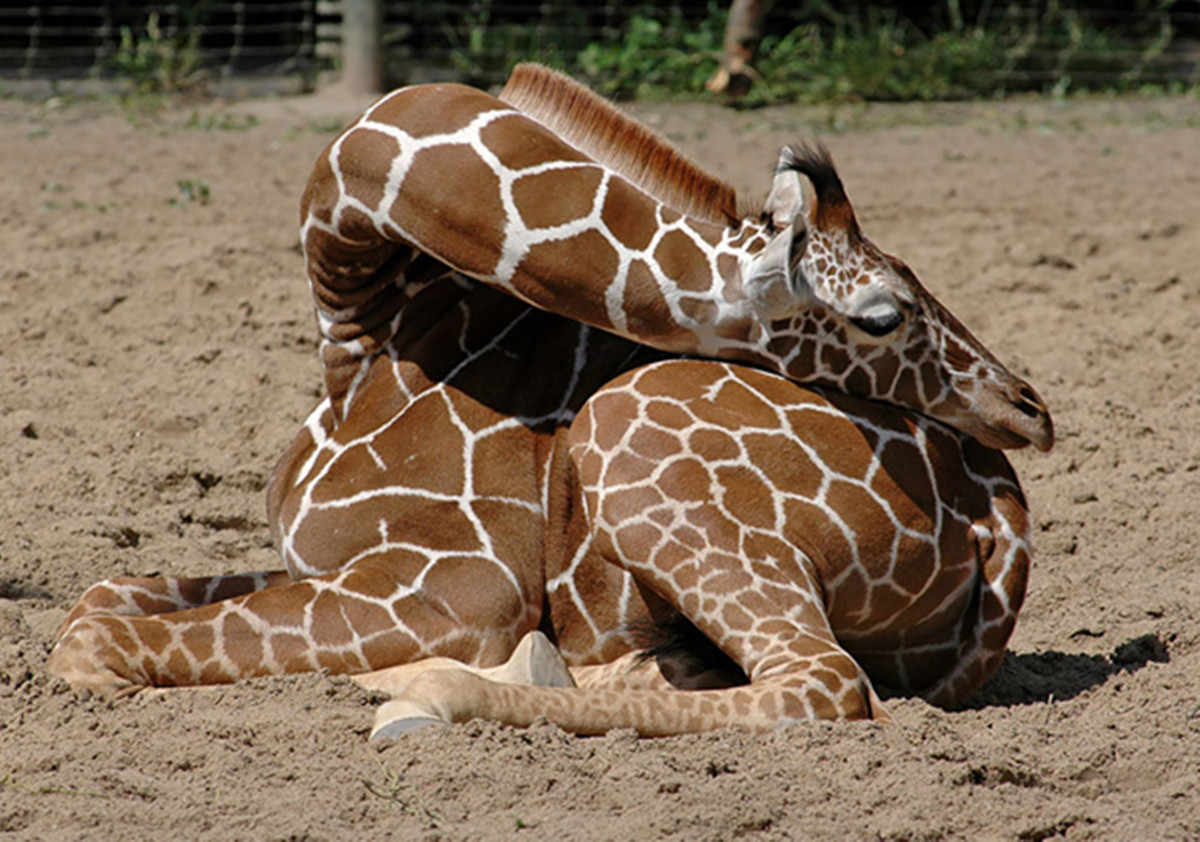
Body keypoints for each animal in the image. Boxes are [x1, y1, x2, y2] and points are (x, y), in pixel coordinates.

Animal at [49, 64, 1051, 738]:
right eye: (885, 312)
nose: (1028, 407)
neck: (364, 333)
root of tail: (1001, 517)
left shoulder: (456, 583)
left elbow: (91, 641)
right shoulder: (321, 561)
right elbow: (102, 592)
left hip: (627, 431)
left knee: (823, 684)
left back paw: (430, 692)